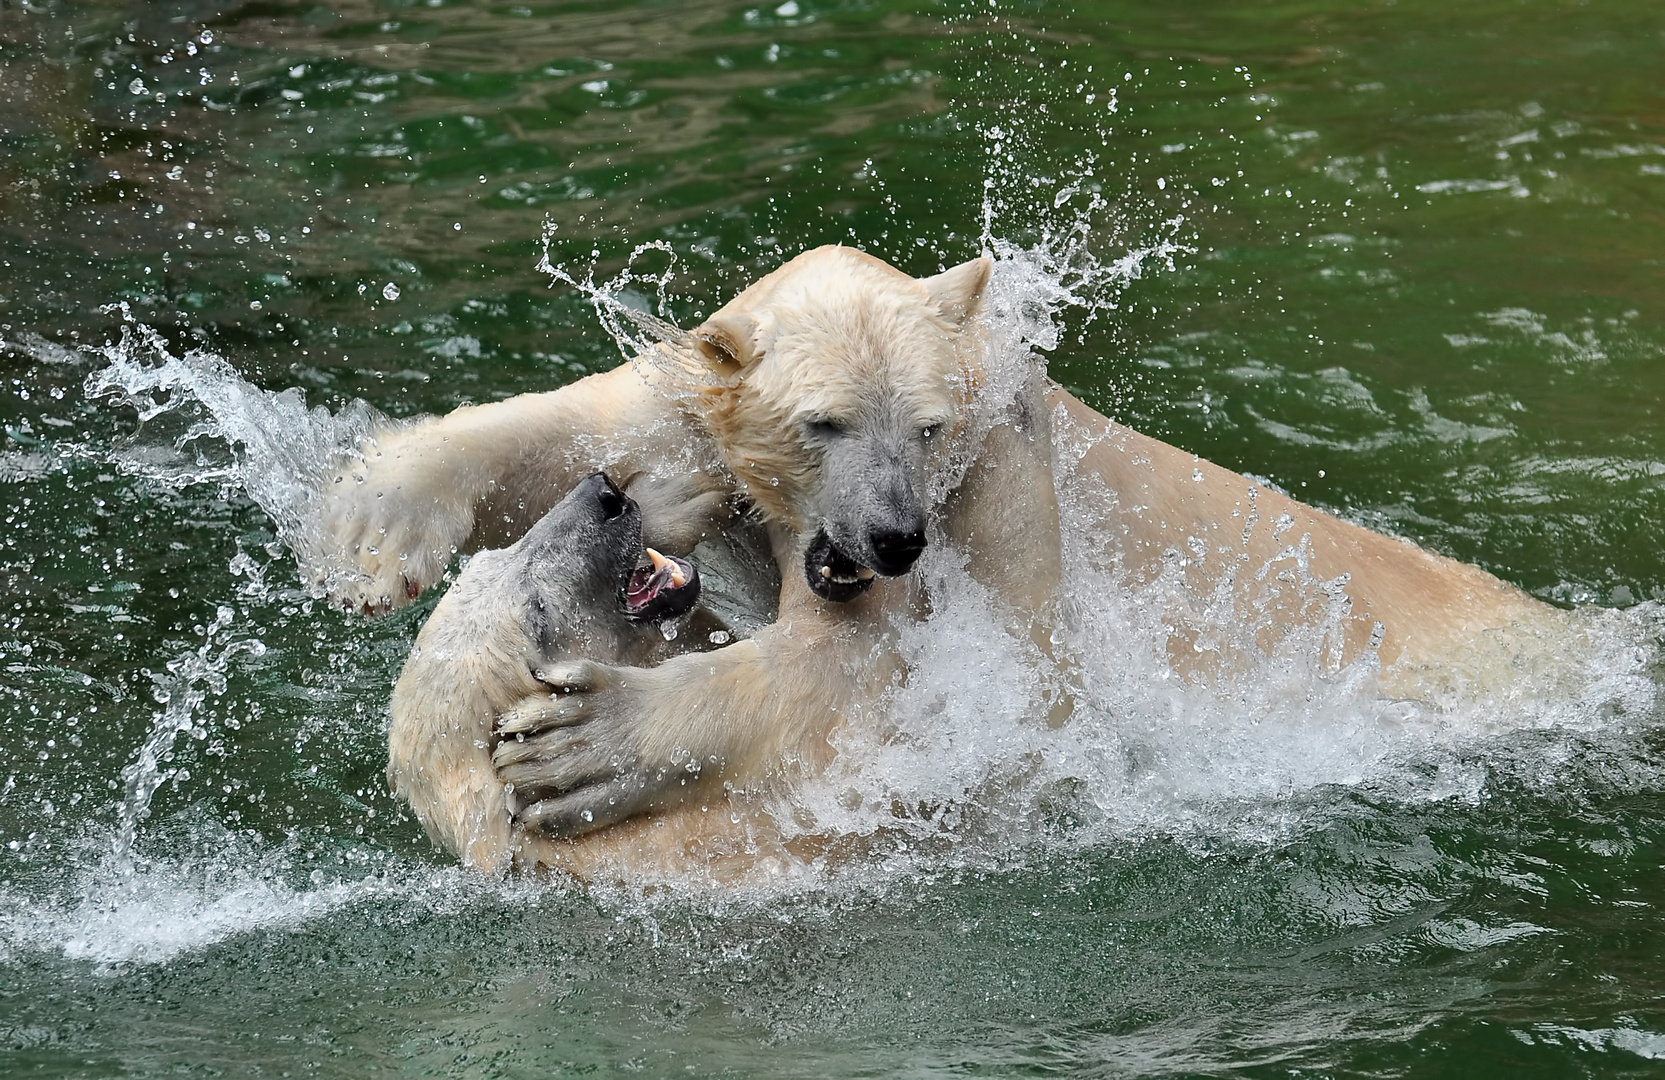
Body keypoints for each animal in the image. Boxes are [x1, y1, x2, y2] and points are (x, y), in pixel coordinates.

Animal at [328, 242, 1558, 852]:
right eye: (821, 422)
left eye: (923, 427)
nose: (889, 538)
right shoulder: (696, 415)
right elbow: (588, 426)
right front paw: (369, 535)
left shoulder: (1001, 506)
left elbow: (918, 689)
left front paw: (589, 746)